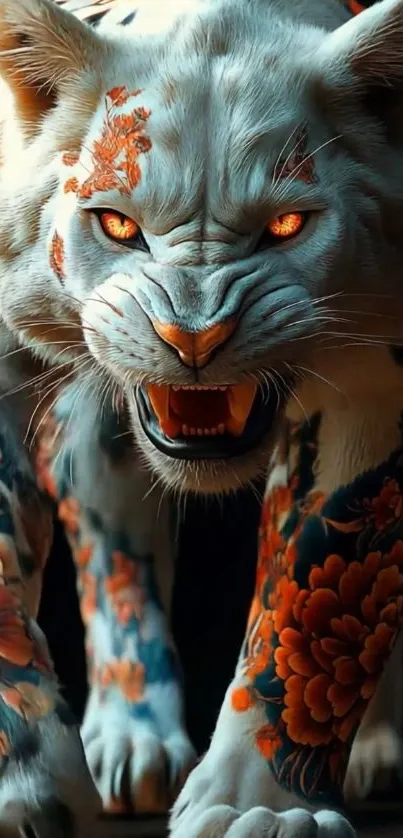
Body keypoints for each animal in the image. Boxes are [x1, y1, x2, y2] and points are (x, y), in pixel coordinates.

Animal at [0, 0, 402, 835]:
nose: (194, 335)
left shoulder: (374, 379)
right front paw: (34, 789)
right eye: (118, 225)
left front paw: (260, 808)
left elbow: (314, 598)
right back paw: (131, 746)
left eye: (286, 227)